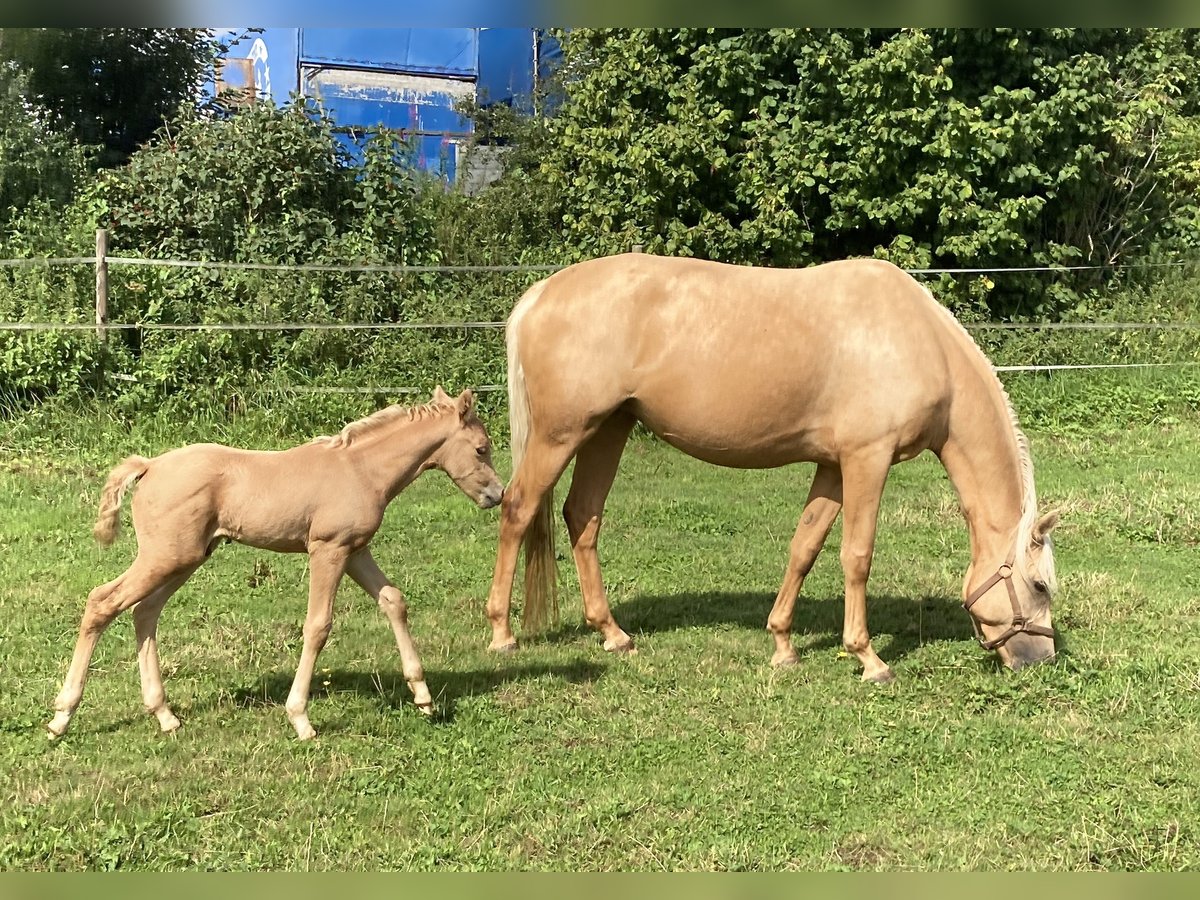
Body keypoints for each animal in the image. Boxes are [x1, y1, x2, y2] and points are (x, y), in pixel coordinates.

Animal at [48, 384, 501, 744]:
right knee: (102, 601)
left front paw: (423, 696)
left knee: (144, 613)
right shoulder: (328, 550)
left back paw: (164, 715)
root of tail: (150, 466)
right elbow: (318, 626)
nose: (496, 494)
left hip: (184, 559)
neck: (360, 469)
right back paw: (62, 717)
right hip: (165, 557)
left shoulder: (356, 550)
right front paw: (300, 718)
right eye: (481, 448)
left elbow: (393, 600)